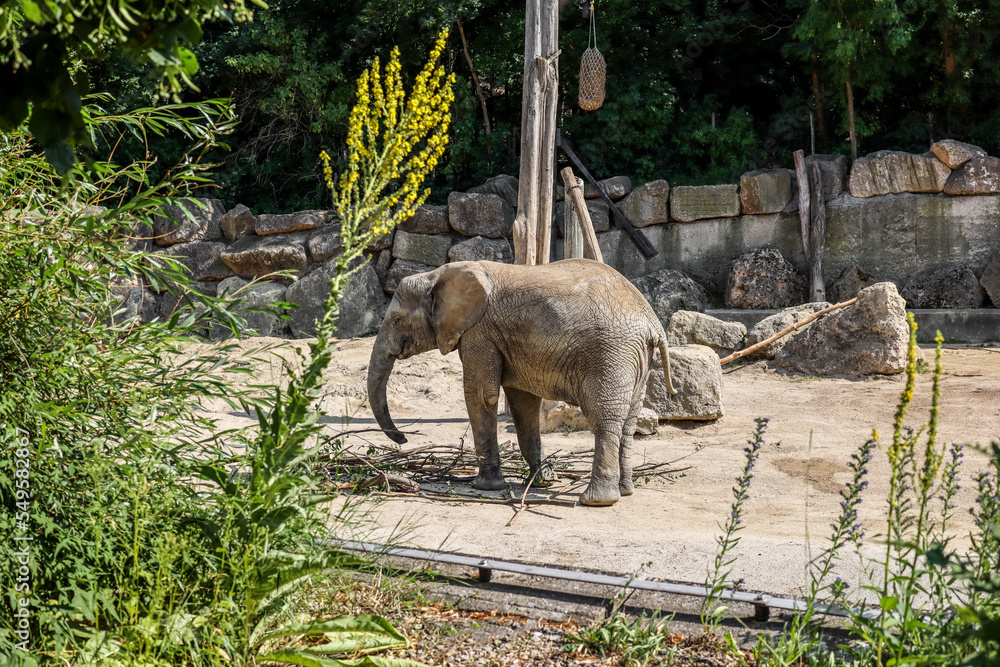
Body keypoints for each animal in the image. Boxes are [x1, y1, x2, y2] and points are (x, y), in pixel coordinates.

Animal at [368, 260, 680, 506]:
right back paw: (626, 492)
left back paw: (598, 501)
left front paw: (485, 487)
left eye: (397, 320)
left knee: (605, 418)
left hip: (610, 353)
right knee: (628, 422)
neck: (437, 274)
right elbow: (522, 404)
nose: (404, 439)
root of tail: (652, 322)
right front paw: (541, 481)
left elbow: (481, 395)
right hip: (637, 359)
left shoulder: (479, 333)